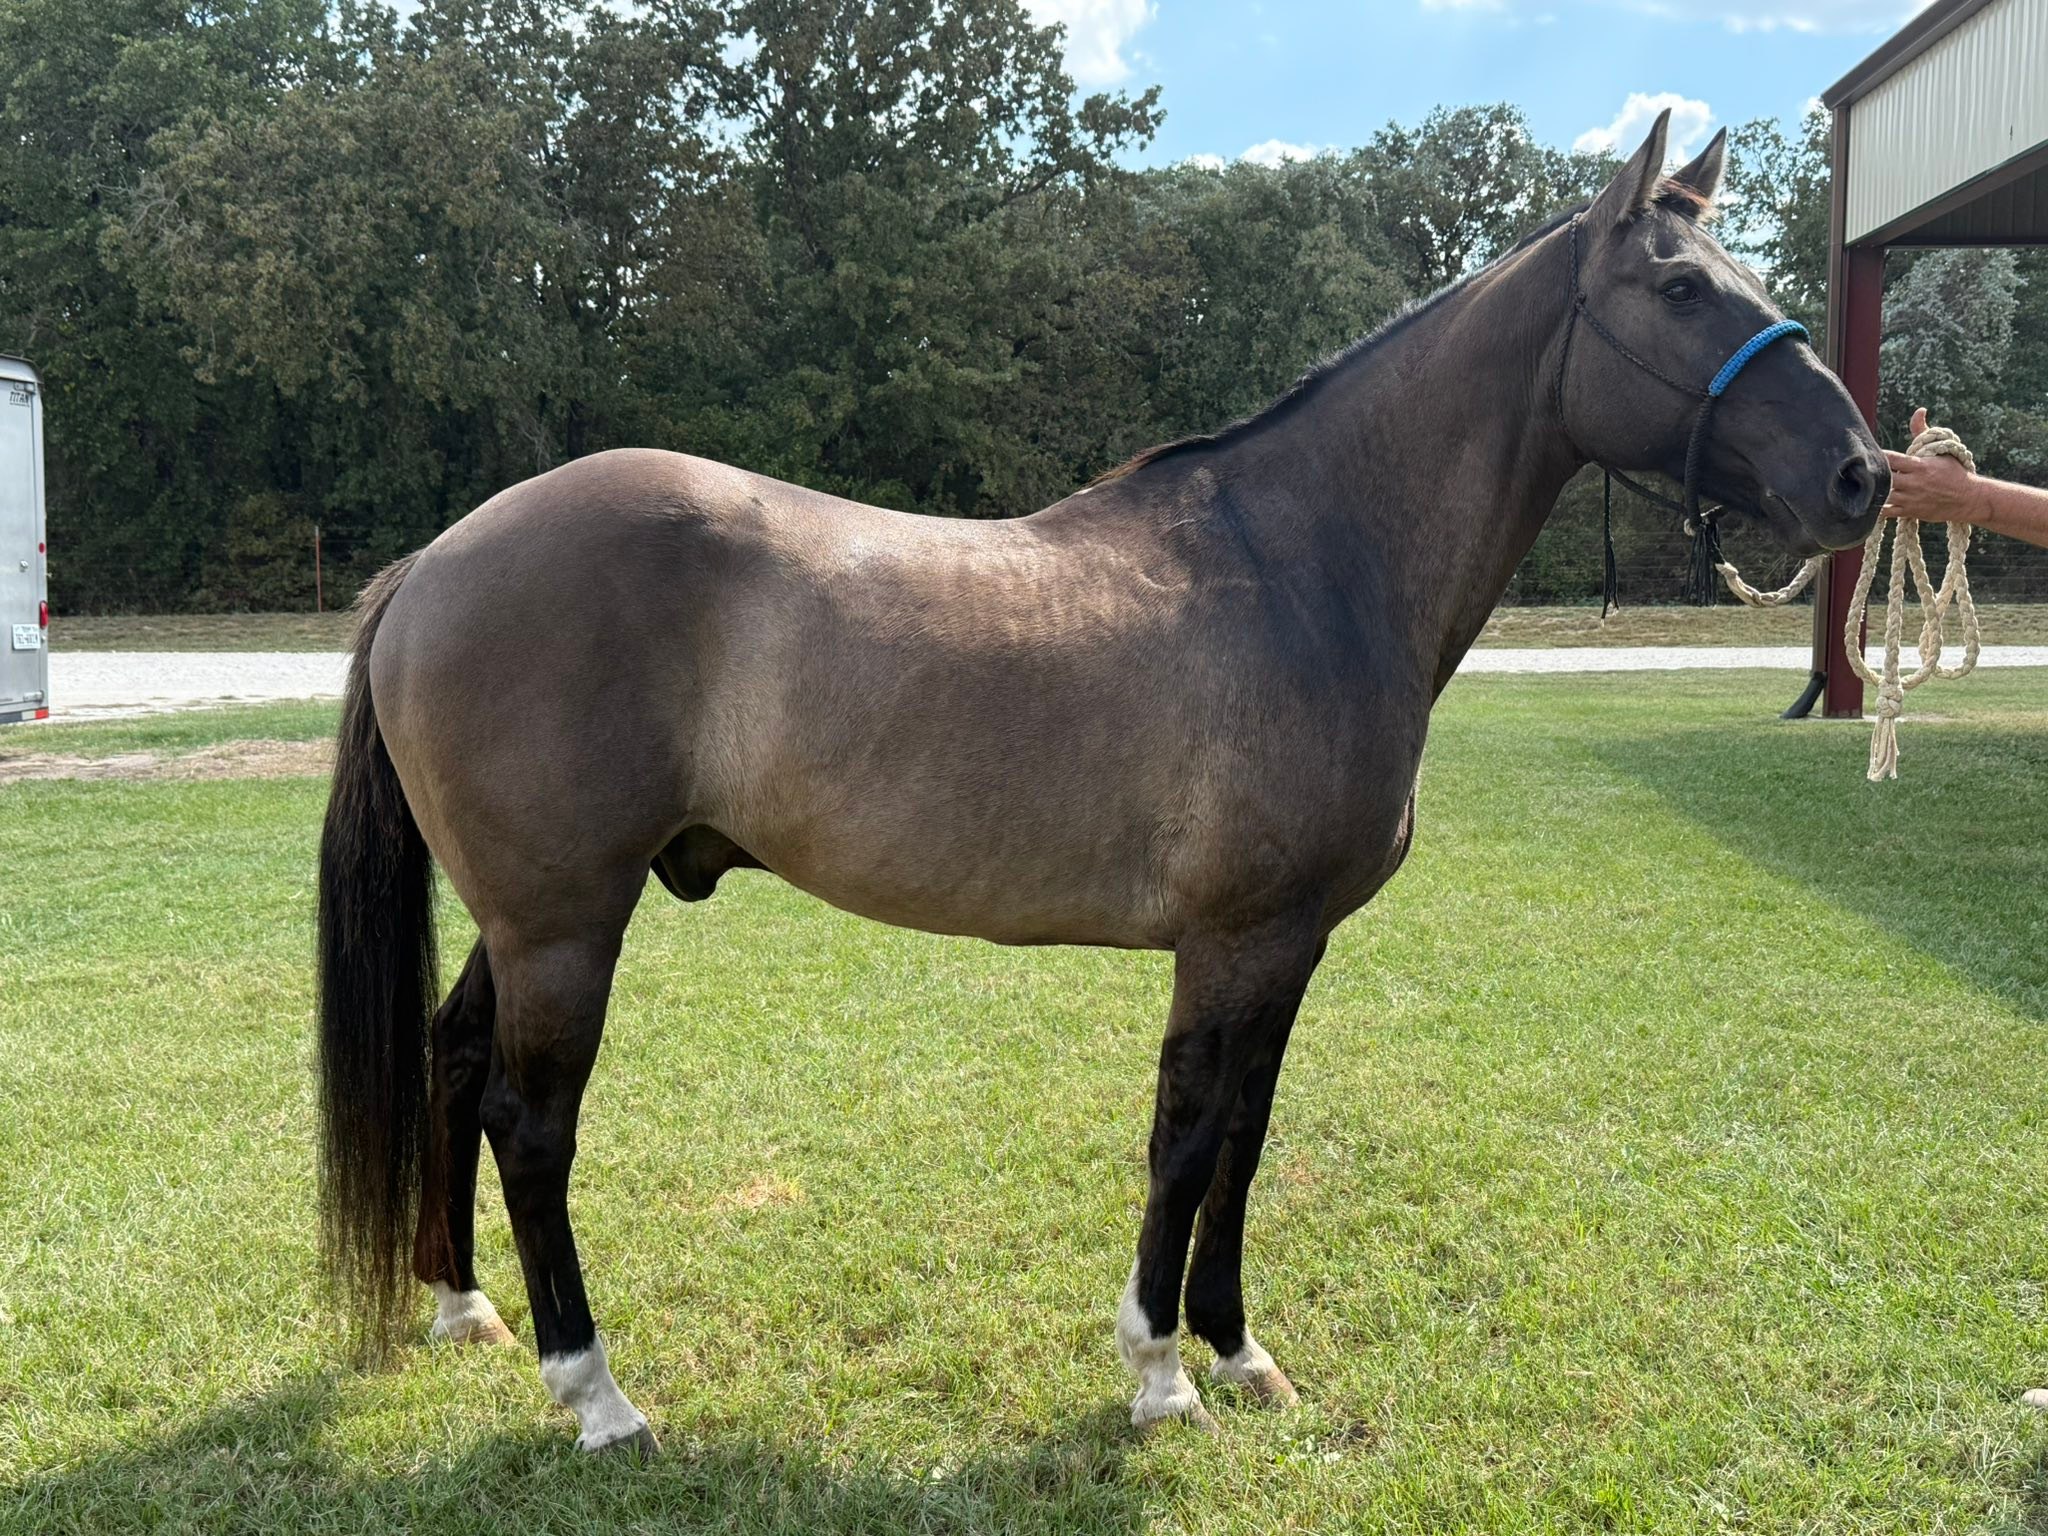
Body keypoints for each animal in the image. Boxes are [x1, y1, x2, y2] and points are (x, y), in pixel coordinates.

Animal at [315, 112, 1886, 1455]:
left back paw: (464, 1306)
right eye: (1678, 287)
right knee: (531, 1125)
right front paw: (1159, 1373)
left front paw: (1240, 1351)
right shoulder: (1232, 940)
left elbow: (1246, 1133)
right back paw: (597, 1395)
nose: (1862, 475)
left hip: (535, 919)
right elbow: (1185, 1140)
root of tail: (433, 562)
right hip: (566, 923)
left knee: (454, 1062)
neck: (1304, 566)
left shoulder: (1290, 945)